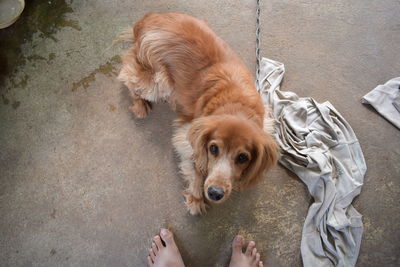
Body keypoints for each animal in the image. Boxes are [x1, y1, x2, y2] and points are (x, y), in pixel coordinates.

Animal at [118, 13, 278, 217]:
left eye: (243, 158)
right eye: (213, 149)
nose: (215, 193)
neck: (235, 104)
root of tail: (147, 18)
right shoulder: (186, 136)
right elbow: (196, 167)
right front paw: (196, 198)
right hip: (159, 81)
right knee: (127, 74)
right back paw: (140, 104)